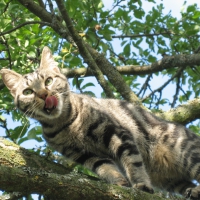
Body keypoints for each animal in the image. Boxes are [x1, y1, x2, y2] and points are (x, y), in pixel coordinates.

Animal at [1, 46, 200, 198]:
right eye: (28, 92)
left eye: (48, 81)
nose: (43, 94)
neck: (65, 124)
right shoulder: (83, 154)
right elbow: (104, 168)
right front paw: (119, 182)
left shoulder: (117, 133)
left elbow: (133, 162)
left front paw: (141, 184)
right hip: (171, 180)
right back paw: (193, 191)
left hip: (187, 153)